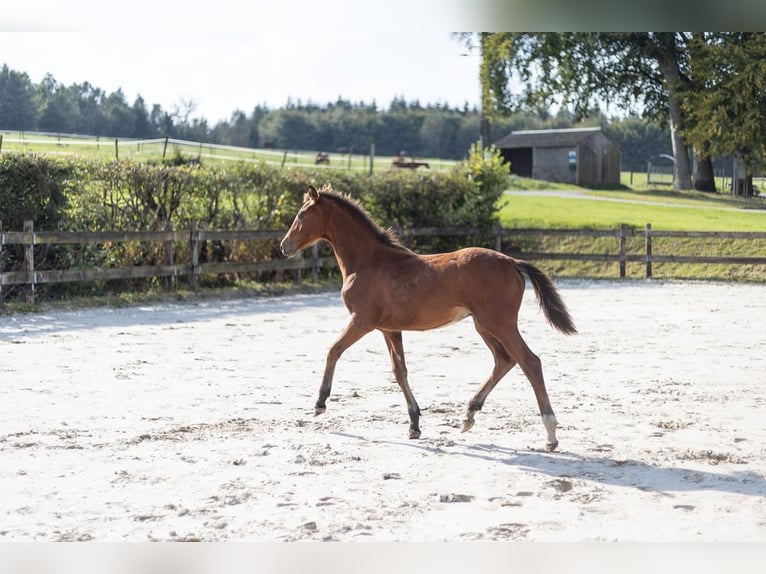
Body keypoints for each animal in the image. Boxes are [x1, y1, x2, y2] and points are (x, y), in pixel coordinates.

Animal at [280, 187, 576, 452]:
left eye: (302, 214)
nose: (284, 246)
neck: (368, 262)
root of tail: (512, 262)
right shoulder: (389, 329)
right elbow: (399, 371)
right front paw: (414, 424)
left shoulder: (362, 321)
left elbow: (333, 350)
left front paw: (319, 403)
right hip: (483, 324)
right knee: (504, 360)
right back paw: (469, 415)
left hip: (499, 323)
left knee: (529, 362)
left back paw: (550, 434)